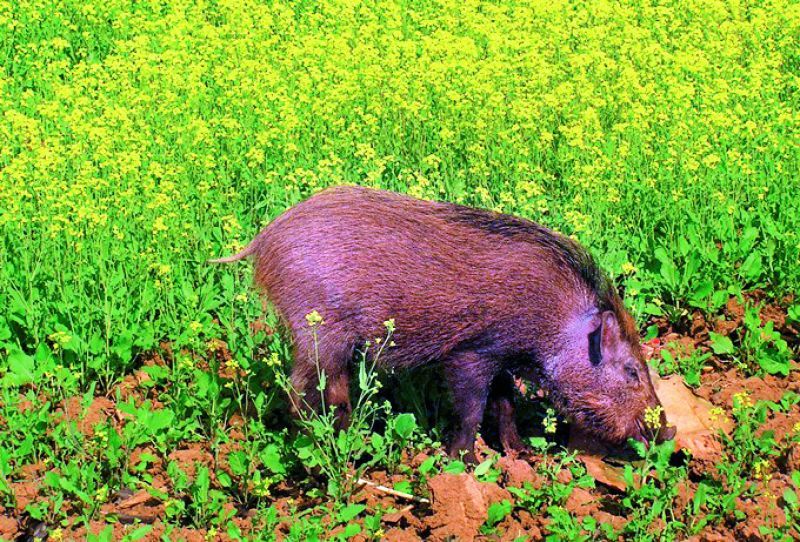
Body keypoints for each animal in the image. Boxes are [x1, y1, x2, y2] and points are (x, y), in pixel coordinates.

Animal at [211, 185, 675, 459]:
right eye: (632, 371)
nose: (669, 432)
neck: (554, 323)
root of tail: (264, 237)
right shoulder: (469, 354)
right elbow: (471, 411)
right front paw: (461, 462)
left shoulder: (498, 357)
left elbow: (504, 405)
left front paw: (519, 454)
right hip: (318, 332)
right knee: (301, 390)